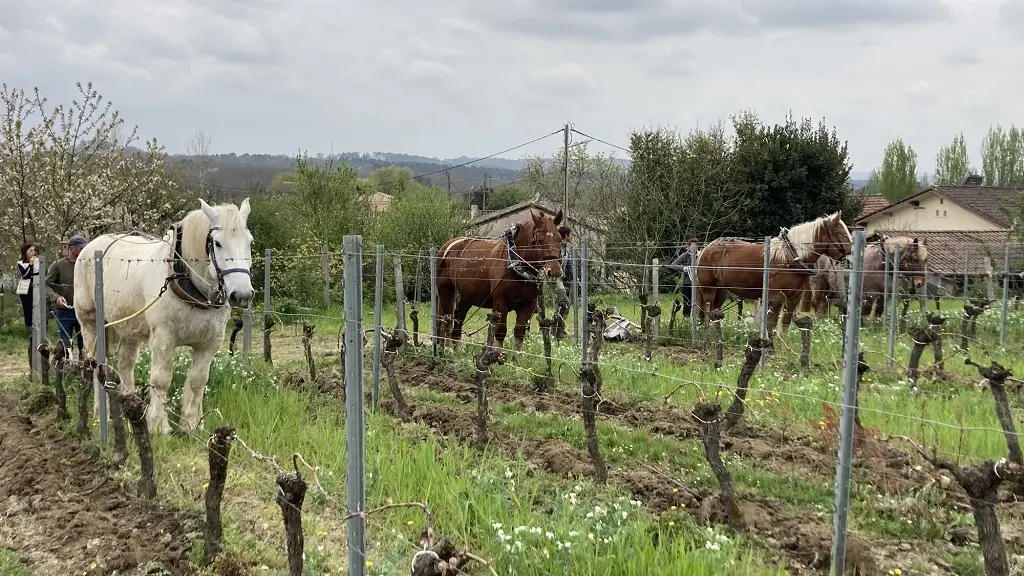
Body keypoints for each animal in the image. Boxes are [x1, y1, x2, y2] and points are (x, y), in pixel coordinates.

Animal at [73, 195, 253, 430]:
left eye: (249, 242)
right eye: (218, 243)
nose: (242, 295)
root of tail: (90, 247)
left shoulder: (210, 343)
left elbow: (198, 380)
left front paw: (191, 424)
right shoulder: (163, 337)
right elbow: (161, 379)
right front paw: (158, 425)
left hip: (128, 328)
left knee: (126, 364)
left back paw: (130, 407)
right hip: (91, 325)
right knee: (97, 366)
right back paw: (101, 413)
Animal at [432, 208, 565, 348]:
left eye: (559, 239)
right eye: (539, 240)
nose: (554, 271)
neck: (515, 264)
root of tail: (448, 245)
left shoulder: (529, 305)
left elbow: (519, 334)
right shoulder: (500, 303)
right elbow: (500, 333)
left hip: (467, 294)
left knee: (459, 317)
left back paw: (457, 350)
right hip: (445, 290)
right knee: (445, 319)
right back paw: (443, 349)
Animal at [692, 212, 851, 334]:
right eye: (840, 234)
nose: (849, 259)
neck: (791, 256)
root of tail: (705, 248)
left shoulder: (794, 297)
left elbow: (785, 323)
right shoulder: (776, 297)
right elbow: (773, 324)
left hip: (721, 290)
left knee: (714, 311)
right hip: (708, 289)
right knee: (706, 310)